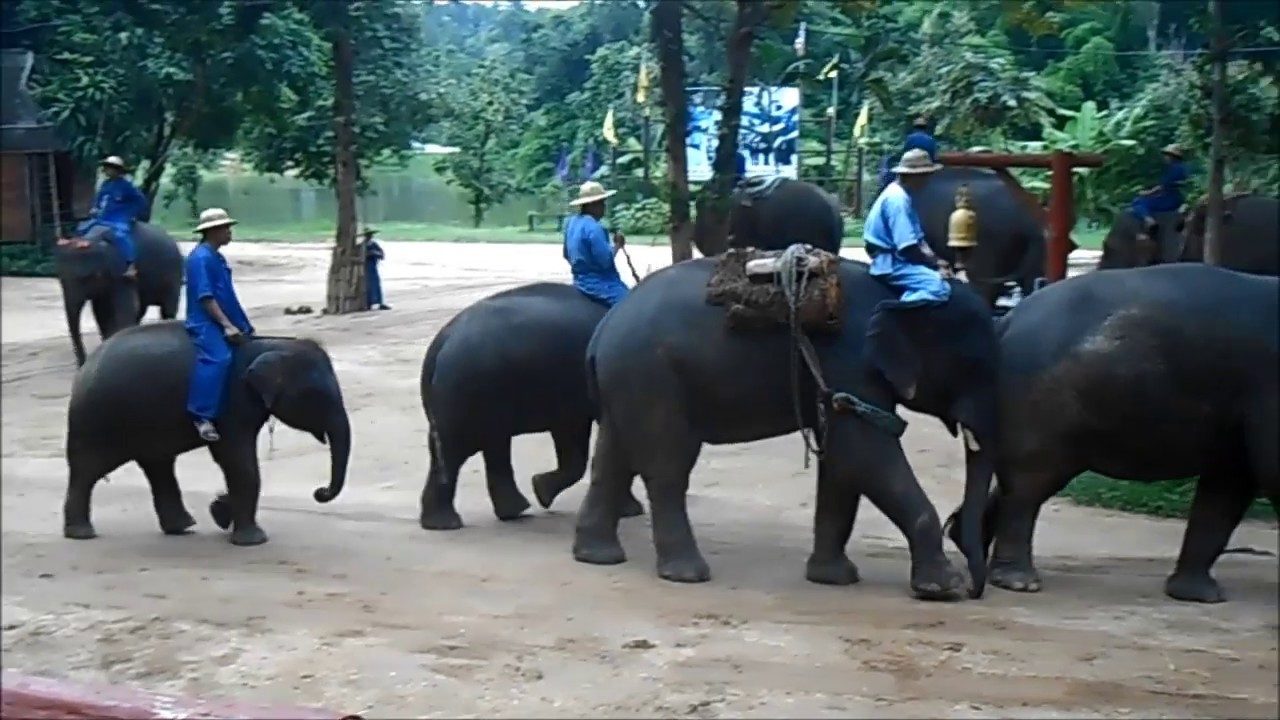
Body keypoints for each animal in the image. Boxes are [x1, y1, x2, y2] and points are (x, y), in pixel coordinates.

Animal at [55, 221, 184, 367]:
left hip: (174, 274)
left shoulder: (123, 274)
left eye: (86, 278)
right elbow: (100, 312)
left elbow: (124, 310)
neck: (93, 239)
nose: (82, 364)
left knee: (167, 309)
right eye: (60, 280)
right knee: (141, 310)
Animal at [62, 321, 352, 546]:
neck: (269, 344)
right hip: (98, 420)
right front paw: (252, 540)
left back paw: (182, 527)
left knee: (158, 466)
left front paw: (220, 512)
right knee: (88, 470)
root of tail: (84, 368)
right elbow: (236, 459)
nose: (320, 492)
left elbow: (234, 463)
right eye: (317, 396)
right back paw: (81, 533)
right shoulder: (230, 404)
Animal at [418, 282, 644, 530]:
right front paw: (632, 511)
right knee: (458, 449)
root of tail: (441, 342)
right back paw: (449, 523)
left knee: (478, 446)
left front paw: (541, 490)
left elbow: (572, 440)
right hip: (468, 389)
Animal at [572, 256, 1000, 600]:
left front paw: (834, 579)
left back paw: (598, 557)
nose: (976, 590)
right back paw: (688, 574)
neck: (902, 293)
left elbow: (842, 463)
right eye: (974, 364)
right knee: (667, 469)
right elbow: (865, 453)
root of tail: (601, 331)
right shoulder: (851, 365)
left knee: (612, 458)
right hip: (652, 378)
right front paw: (944, 588)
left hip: (627, 382)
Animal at [944, 264, 1279, 603]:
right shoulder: (1268, 387)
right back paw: (1020, 583)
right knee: (1029, 484)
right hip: (1040, 402)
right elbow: (1265, 470)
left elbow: (1227, 485)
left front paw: (1198, 596)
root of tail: (1007, 321)